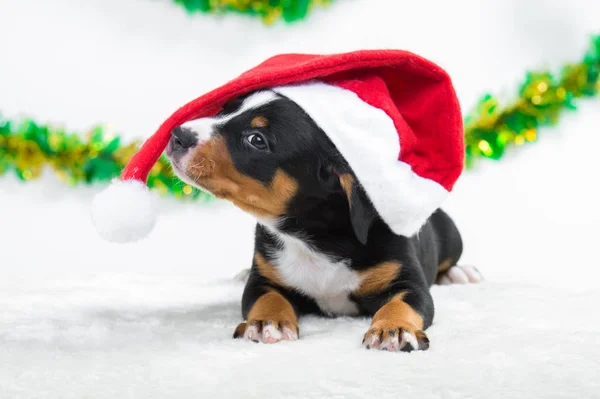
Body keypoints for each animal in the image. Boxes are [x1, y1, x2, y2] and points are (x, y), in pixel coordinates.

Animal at [165, 90, 482, 354]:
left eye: (256, 140)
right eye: (225, 109)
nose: (178, 134)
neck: (315, 236)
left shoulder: (407, 281)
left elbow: (402, 303)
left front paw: (395, 328)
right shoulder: (264, 280)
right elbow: (268, 299)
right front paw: (268, 322)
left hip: (451, 235)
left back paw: (459, 273)